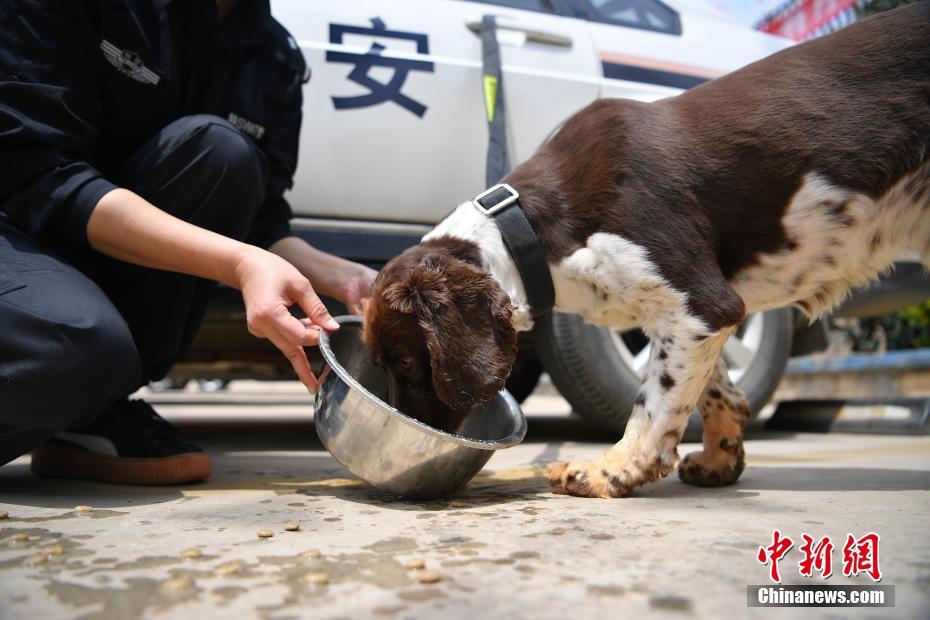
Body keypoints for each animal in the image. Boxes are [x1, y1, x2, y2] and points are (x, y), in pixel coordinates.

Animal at [360, 4, 928, 498]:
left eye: (408, 362)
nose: (409, 432)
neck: (533, 231)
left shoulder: (702, 300)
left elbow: (654, 397)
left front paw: (610, 470)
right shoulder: (693, 314)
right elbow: (710, 387)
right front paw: (720, 459)